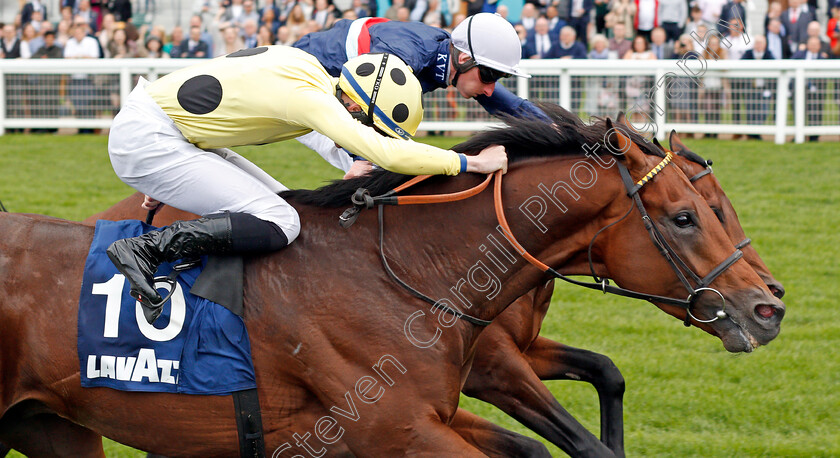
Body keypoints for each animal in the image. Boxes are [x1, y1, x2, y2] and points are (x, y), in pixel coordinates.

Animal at [3, 116, 784, 456]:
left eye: (717, 205)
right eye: (686, 216)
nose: (768, 305)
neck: (409, 273)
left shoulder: (447, 403)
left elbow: (577, 408)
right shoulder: (403, 426)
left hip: (53, 429)